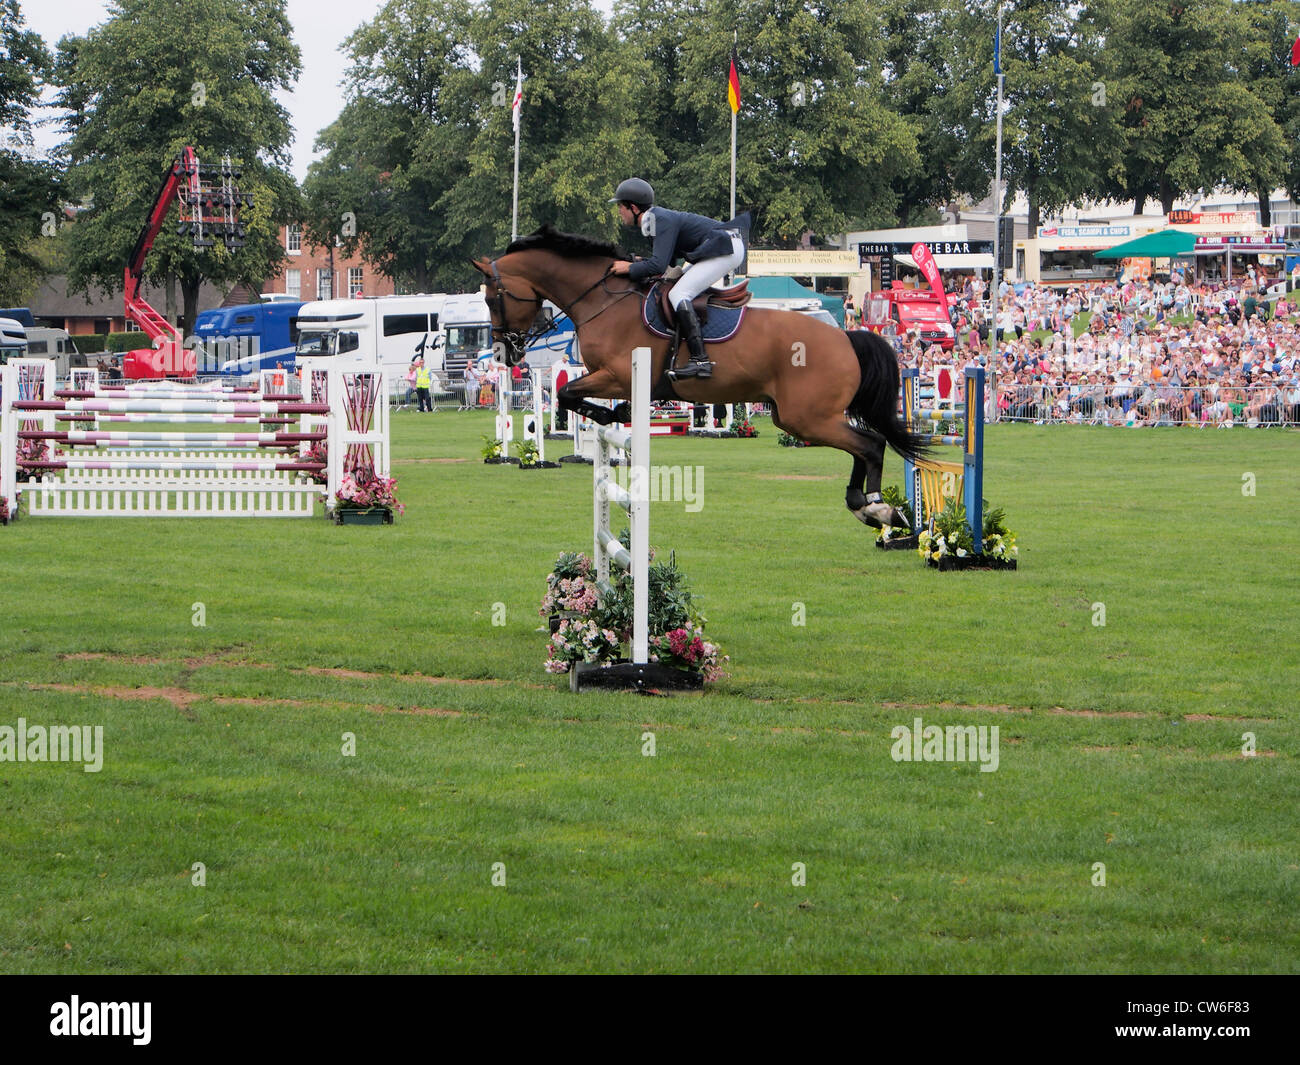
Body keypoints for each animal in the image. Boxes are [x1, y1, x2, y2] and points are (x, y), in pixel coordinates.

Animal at [473, 226, 930, 527]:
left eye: (492, 298)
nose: (505, 351)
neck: (602, 299)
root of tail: (846, 337)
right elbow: (570, 395)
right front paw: (615, 416)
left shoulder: (618, 375)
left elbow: (569, 394)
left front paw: (613, 415)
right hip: (797, 417)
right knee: (862, 446)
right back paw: (864, 505)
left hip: (808, 417)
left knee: (869, 444)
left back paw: (876, 506)